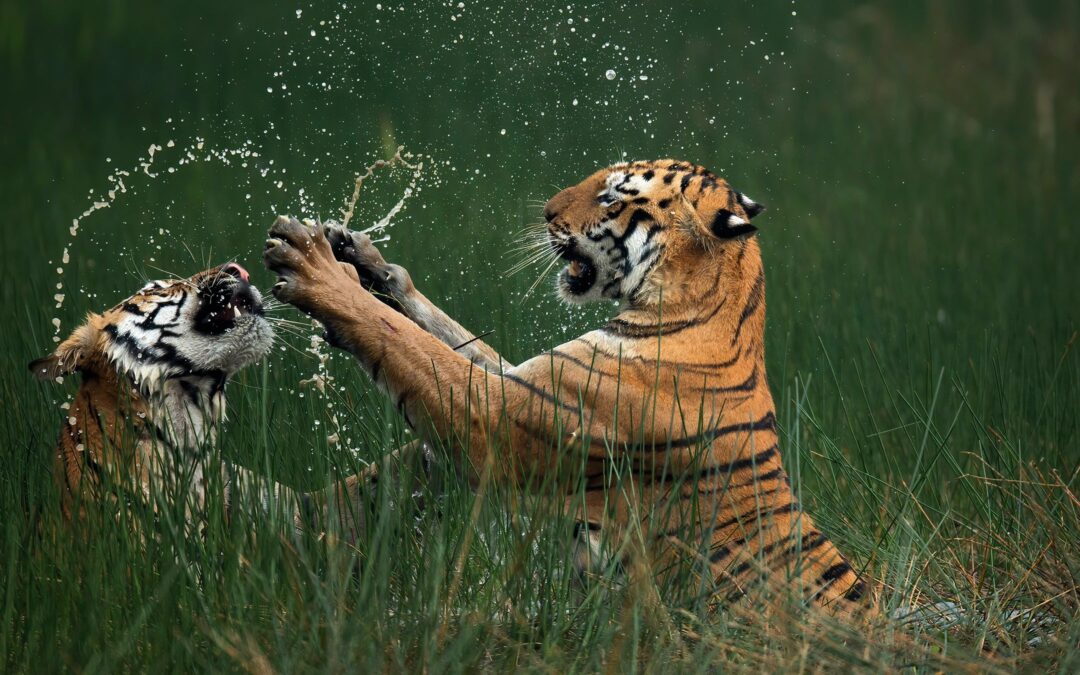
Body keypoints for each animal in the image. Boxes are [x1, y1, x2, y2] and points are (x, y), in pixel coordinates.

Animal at [263, 159, 868, 613]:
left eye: (612, 198)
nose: (546, 211)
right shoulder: (527, 382)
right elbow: (442, 334)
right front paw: (361, 257)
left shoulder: (498, 418)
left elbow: (408, 344)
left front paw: (315, 267)